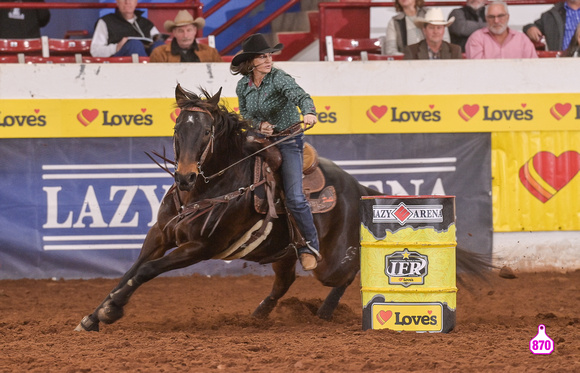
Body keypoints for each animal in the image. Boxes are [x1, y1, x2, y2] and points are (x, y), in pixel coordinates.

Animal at [75, 85, 488, 332]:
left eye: (206, 132)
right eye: (179, 130)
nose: (186, 177)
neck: (212, 187)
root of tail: (358, 187)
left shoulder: (201, 247)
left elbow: (147, 271)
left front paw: (110, 310)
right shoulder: (160, 234)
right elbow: (132, 270)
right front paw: (95, 315)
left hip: (329, 260)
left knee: (349, 272)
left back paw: (325, 313)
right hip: (283, 251)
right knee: (285, 280)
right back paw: (260, 313)